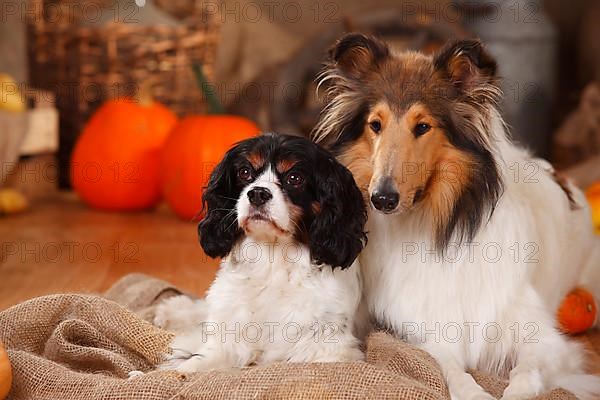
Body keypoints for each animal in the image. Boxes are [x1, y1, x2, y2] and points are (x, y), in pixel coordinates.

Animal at [314, 32, 600, 398]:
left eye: (423, 126)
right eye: (375, 125)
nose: (382, 199)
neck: (429, 225)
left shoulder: (543, 339)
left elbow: (526, 371)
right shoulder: (428, 333)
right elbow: (450, 370)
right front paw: (474, 391)